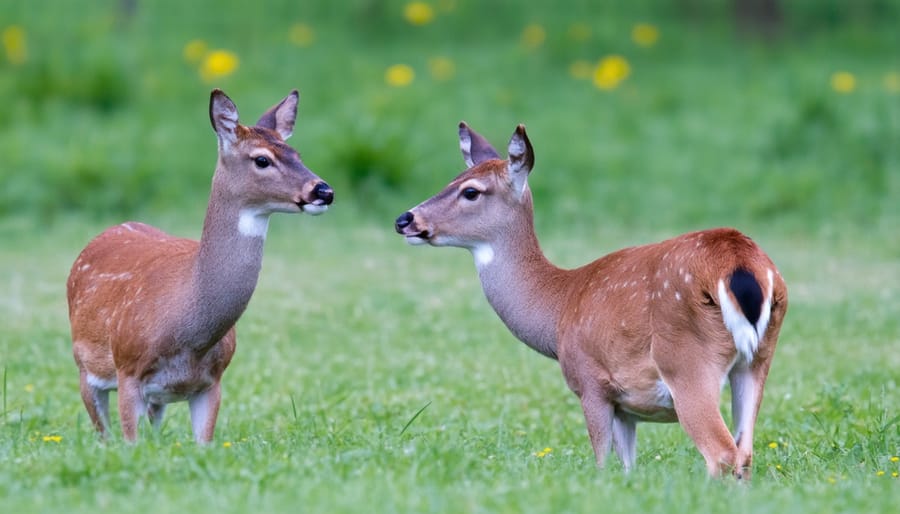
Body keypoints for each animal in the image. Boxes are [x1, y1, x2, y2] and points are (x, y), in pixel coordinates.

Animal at [67, 89, 334, 444]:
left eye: (297, 153)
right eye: (262, 160)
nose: (324, 191)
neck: (188, 332)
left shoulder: (212, 380)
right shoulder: (128, 369)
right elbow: (129, 442)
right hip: (85, 366)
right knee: (104, 434)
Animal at [395, 122, 788, 478]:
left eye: (471, 191)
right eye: (451, 179)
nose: (405, 219)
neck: (557, 310)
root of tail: (744, 263)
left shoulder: (590, 381)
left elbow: (601, 460)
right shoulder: (626, 405)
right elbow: (628, 467)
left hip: (686, 360)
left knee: (721, 452)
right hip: (757, 359)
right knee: (745, 452)